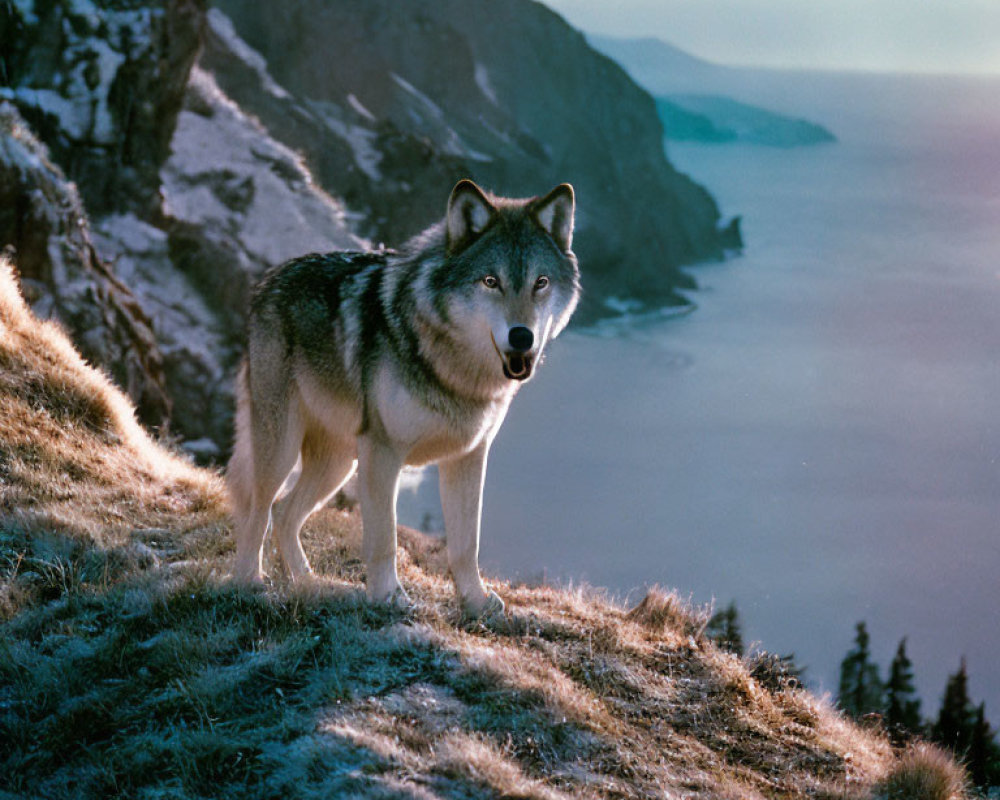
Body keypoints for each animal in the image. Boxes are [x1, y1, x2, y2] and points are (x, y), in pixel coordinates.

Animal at [228, 181, 584, 616]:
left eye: (541, 282)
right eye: (490, 281)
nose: (522, 337)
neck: (453, 368)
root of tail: (269, 280)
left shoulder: (469, 456)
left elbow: (466, 545)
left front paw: (476, 602)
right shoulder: (383, 452)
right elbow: (385, 539)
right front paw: (389, 597)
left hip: (338, 463)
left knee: (284, 513)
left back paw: (309, 584)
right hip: (284, 448)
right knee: (259, 510)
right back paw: (250, 582)